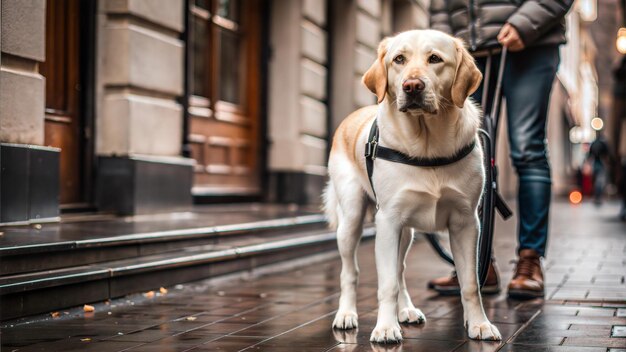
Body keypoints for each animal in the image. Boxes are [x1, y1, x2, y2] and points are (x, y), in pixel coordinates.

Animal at [324, 30, 500, 344]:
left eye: (435, 59)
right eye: (399, 59)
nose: (413, 85)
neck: (428, 145)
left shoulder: (466, 222)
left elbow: (470, 282)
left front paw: (479, 324)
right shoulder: (388, 221)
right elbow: (386, 284)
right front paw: (385, 328)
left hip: (406, 232)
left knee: (400, 270)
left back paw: (406, 310)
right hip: (352, 219)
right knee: (350, 271)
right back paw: (346, 314)